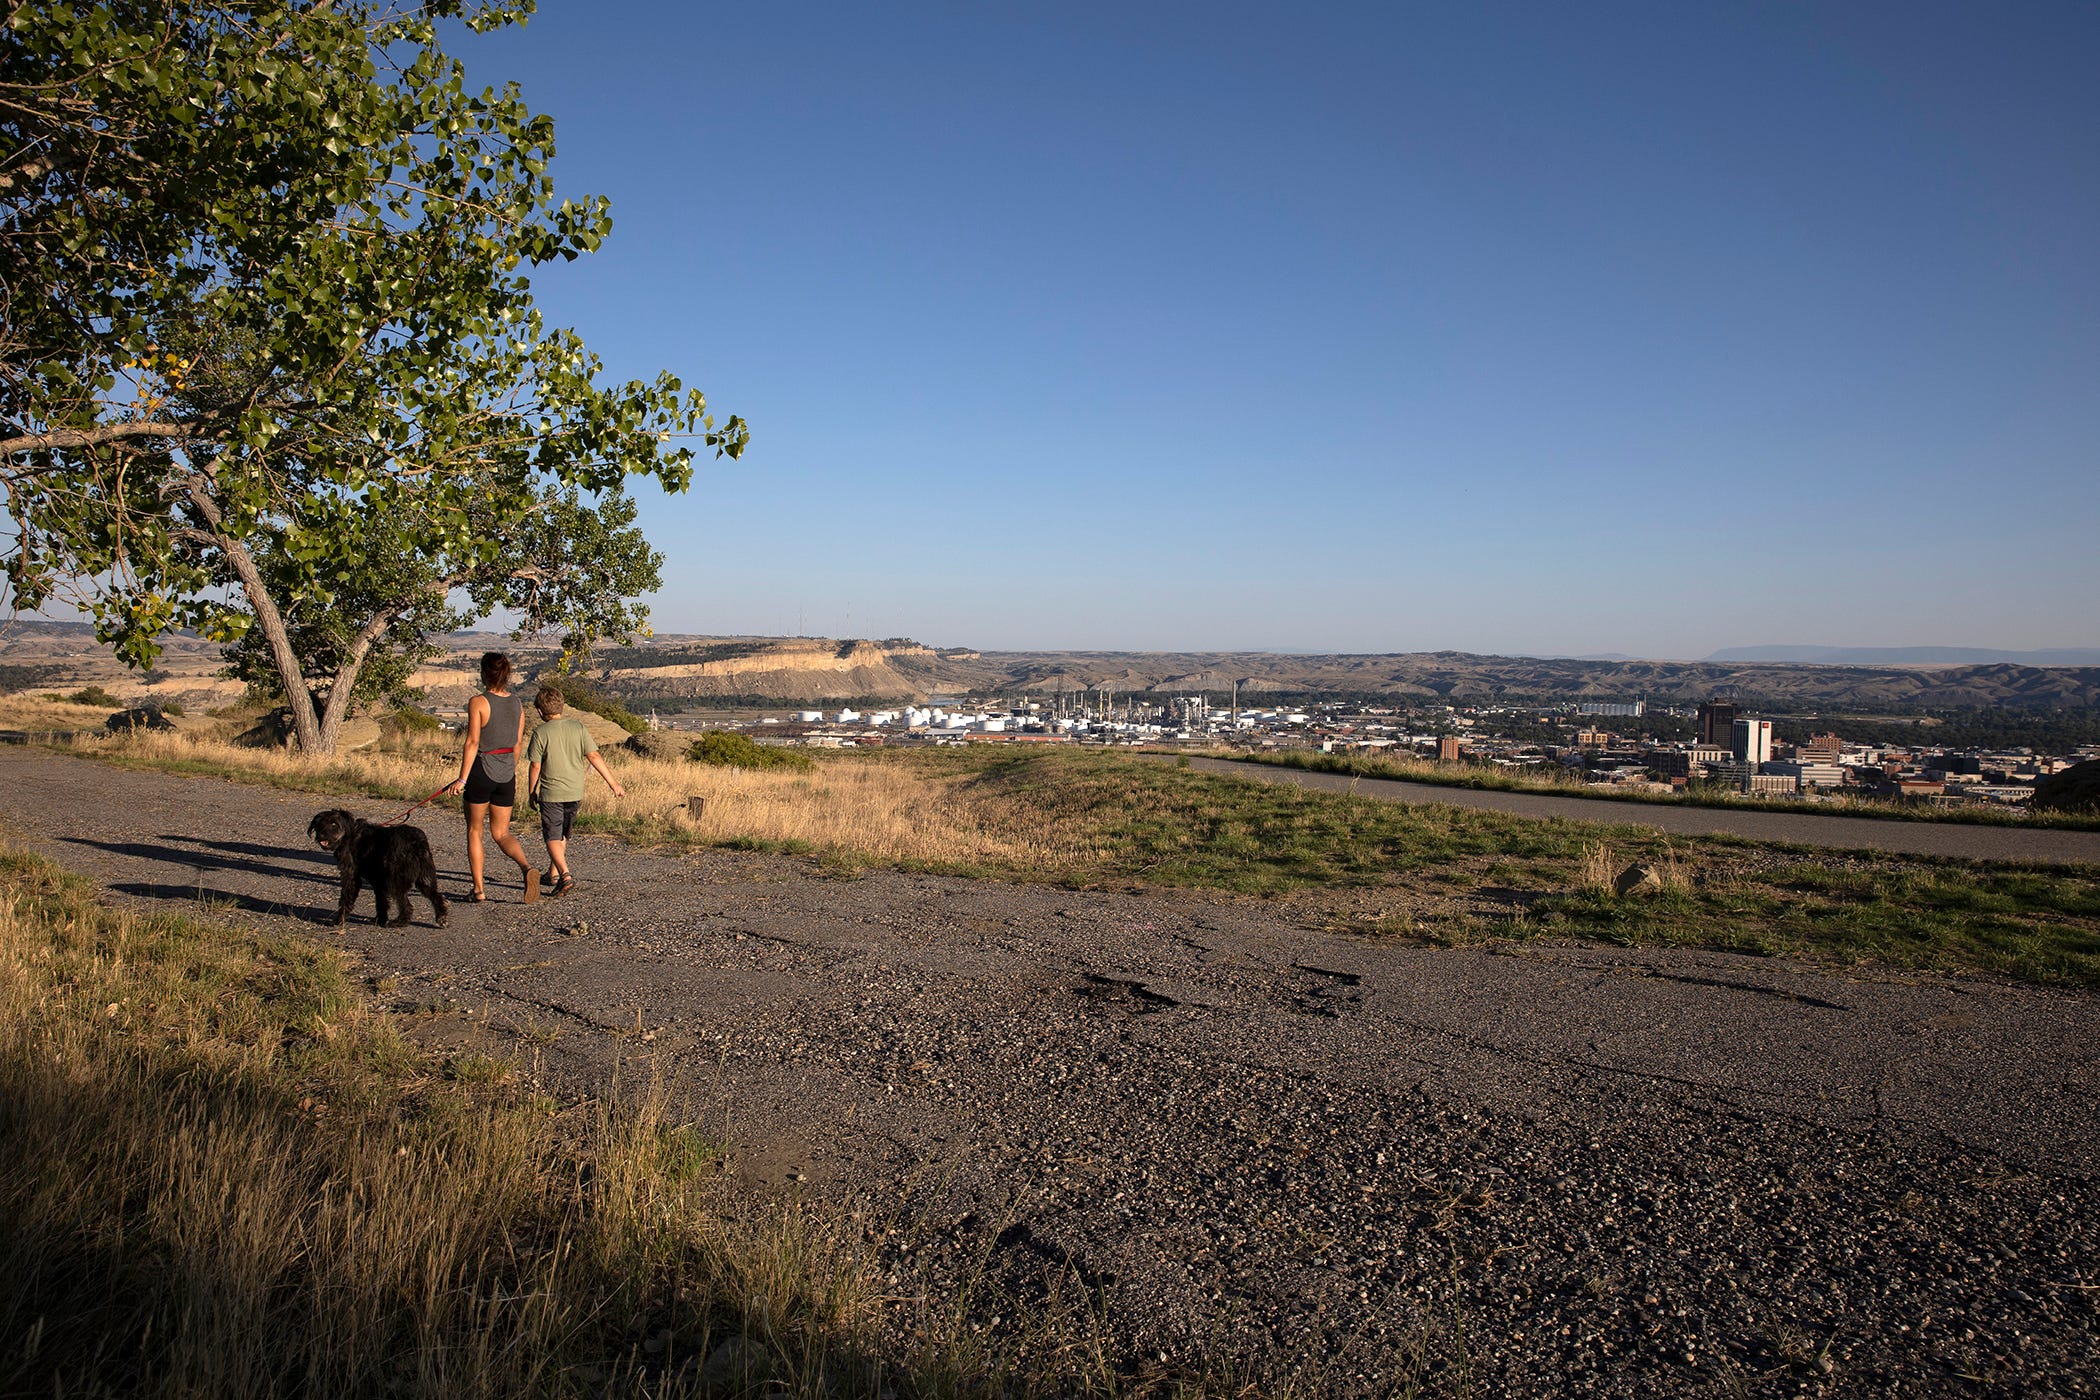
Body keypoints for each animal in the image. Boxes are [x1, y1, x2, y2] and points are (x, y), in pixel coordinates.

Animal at [306, 810, 445, 931]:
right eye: (319, 823)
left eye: (334, 824)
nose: (321, 835)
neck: (348, 835)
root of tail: (417, 842)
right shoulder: (379, 882)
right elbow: (381, 902)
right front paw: (380, 919)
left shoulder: (351, 877)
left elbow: (346, 899)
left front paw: (339, 920)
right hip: (424, 877)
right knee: (436, 896)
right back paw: (441, 917)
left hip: (396, 881)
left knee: (407, 905)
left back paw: (400, 922)